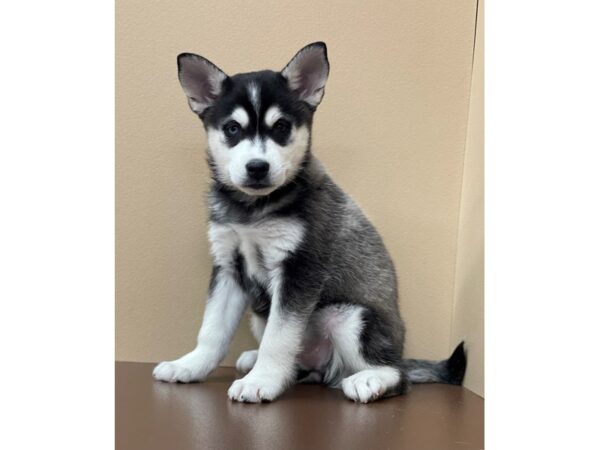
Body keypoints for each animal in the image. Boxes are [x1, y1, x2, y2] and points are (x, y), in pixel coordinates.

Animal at [152, 42, 466, 402]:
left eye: (281, 127)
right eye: (232, 128)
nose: (257, 167)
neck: (253, 211)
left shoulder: (299, 270)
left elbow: (279, 337)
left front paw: (262, 381)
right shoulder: (228, 265)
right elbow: (212, 330)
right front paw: (190, 365)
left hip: (351, 317)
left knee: (398, 377)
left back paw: (369, 379)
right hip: (262, 313)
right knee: (300, 362)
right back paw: (263, 362)